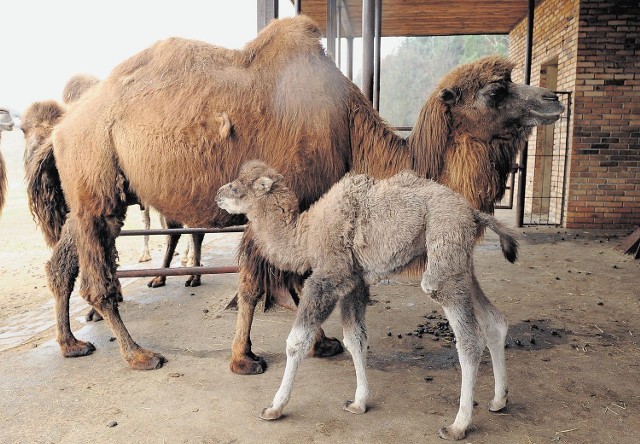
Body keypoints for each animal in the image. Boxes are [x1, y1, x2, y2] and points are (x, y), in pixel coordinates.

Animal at [31, 14, 560, 372]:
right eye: (495, 91)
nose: (553, 98)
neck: (350, 131)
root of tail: (61, 127)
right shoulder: (277, 199)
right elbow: (256, 282)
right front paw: (244, 359)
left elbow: (295, 279)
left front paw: (321, 342)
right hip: (96, 177)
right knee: (98, 277)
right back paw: (138, 354)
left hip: (93, 194)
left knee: (62, 263)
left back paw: (72, 343)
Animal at [218, 160, 516, 440]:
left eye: (237, 186)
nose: (218, 194)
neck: (306, 234)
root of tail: (473, 213)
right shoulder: (355, 281)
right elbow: (355, 339)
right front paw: (358, 402)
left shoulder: (328, 276)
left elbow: (297, 341)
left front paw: (274, 408)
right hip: (460, 264)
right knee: (494, 322)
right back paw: (498, 400)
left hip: (444, 247)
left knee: (468, 338)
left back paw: (458, 426)